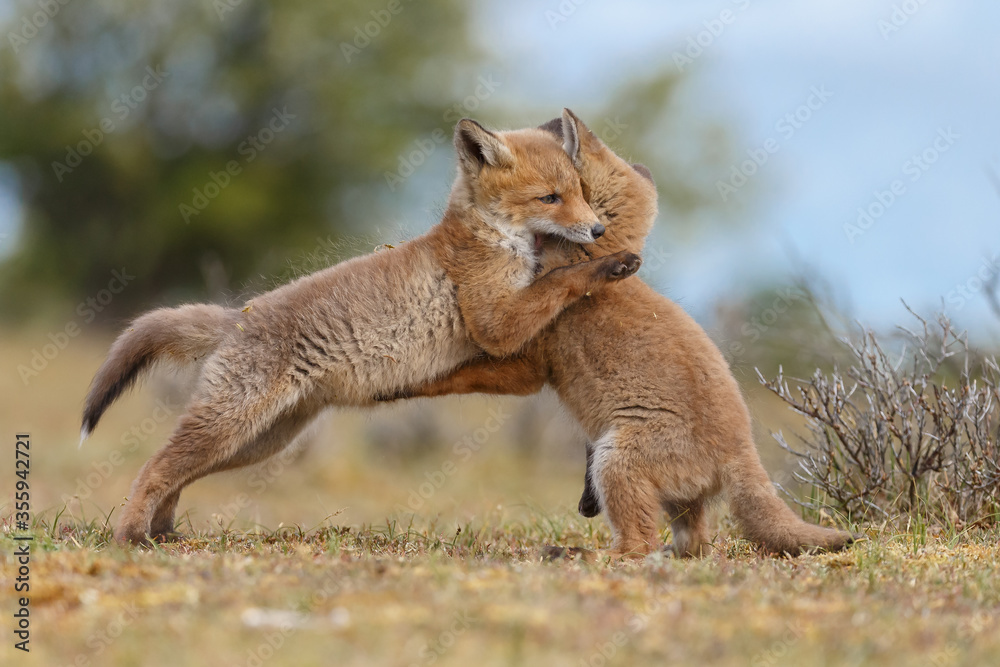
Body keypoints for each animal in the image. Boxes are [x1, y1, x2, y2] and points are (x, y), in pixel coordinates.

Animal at [81, 109, 642, 545]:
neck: (491, 238)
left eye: (579, 192)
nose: (597, 229)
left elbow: (551, 282)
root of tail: (238, 314)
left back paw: (163, 533)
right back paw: (130, 537)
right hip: (230, 427)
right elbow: (559, 282)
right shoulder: (494, 323)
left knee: (175, 476)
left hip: (257, 442)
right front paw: (607, 265)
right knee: (154, 469)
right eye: (550, 198)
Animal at [396, 110, 855, 559]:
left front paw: (407, 386)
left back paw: (585, 554)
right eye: (553, 195)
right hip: (669, 496)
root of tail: (743, 450)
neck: (589, 254)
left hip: (615, 461)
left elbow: (461, 374)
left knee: (637, 547)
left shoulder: (531, 361)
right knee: (694, 545)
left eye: (567, 193)